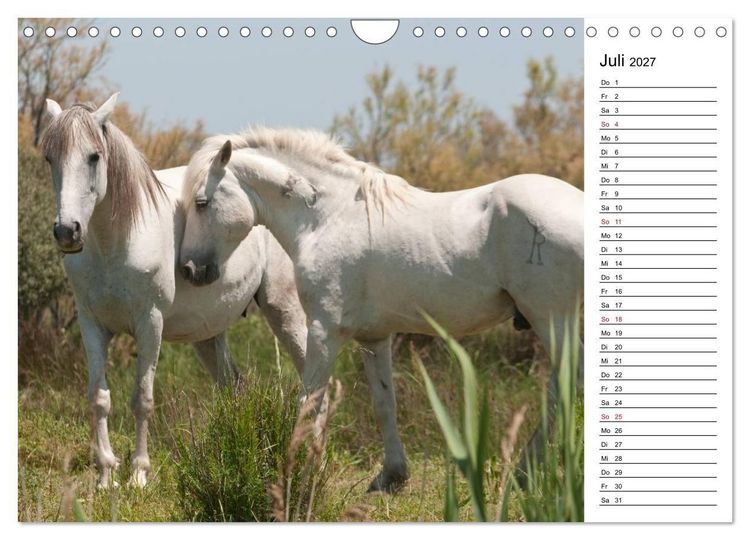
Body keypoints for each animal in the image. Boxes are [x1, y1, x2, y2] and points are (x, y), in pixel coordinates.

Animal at [39, 96, 308, 489]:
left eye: (94, 156)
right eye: (50, 158)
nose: (67, 232)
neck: (115, 242)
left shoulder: (150, 323)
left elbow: (143, 399)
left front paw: (138, 475)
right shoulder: (92, 325)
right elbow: (99, 398)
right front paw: (106, 475)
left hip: (285, 312)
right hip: (209, 335)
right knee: (234, 387)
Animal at [179, 126, 584, 493]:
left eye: (201, 203)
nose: (189, 269)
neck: (327, 216)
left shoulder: (324, 330)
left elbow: (310, 401)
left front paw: (296, 473)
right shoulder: (374, 339)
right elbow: (383, 403)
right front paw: (391, 476)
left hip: (551, 319)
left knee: (565, 387)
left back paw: (523, 473)